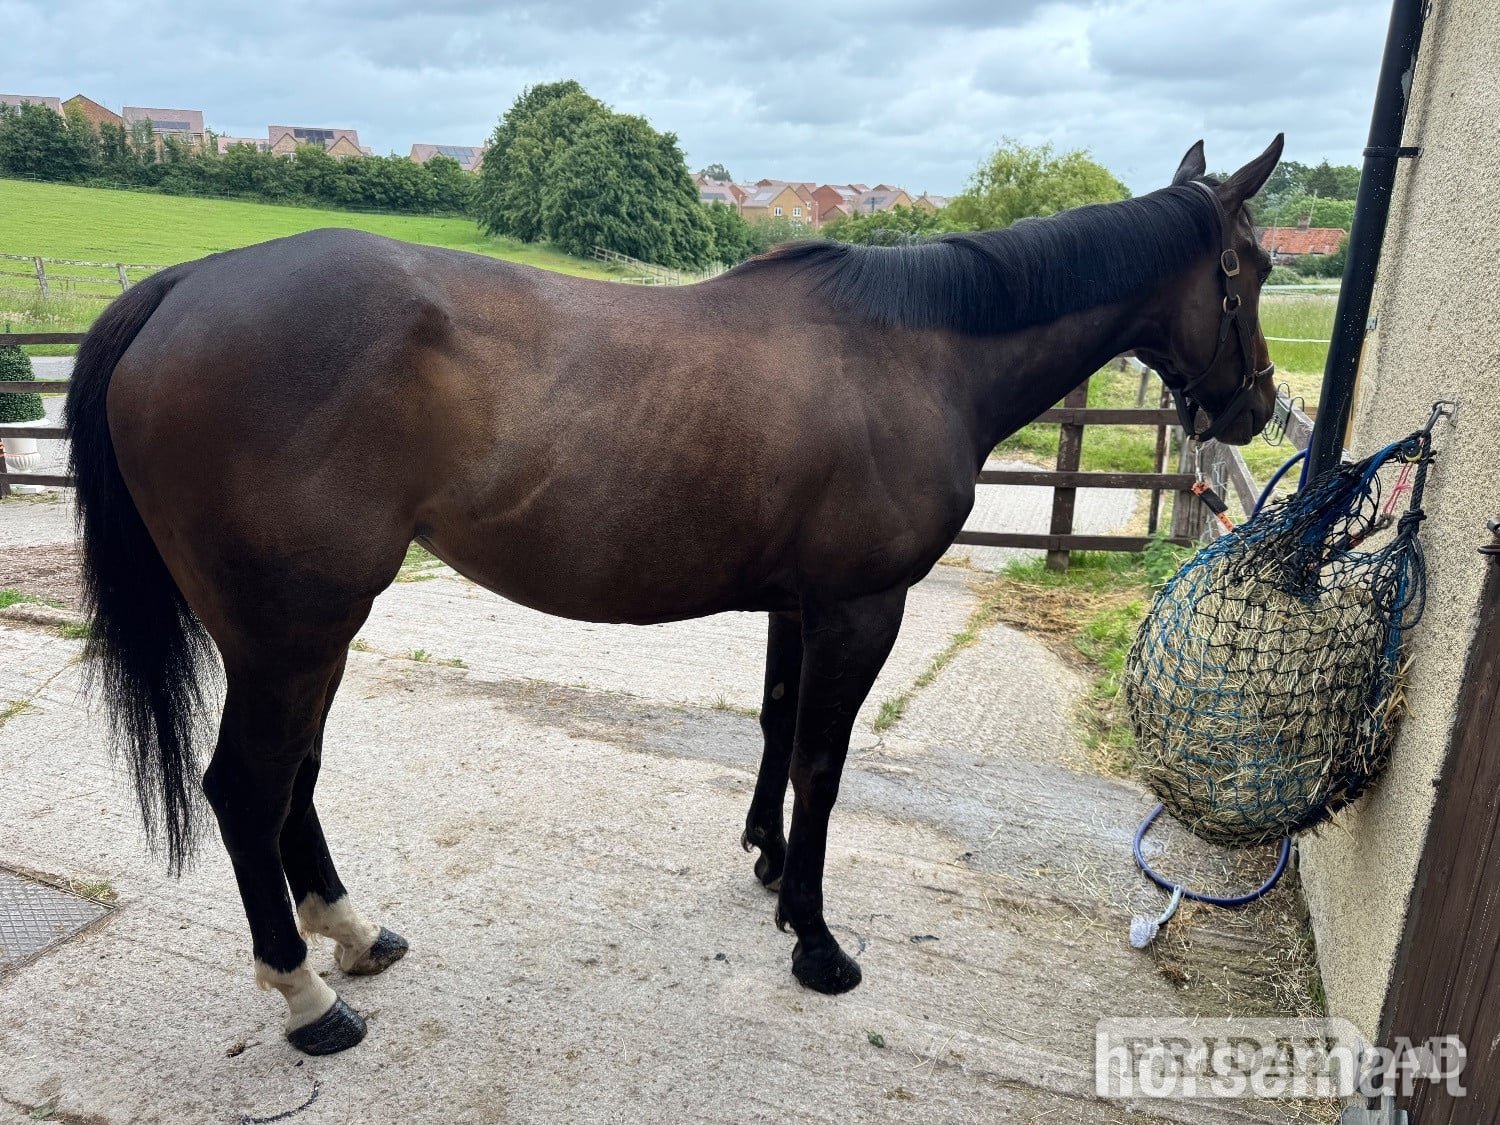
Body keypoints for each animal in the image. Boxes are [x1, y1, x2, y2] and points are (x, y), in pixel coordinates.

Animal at [63, 136, 1282, 1055]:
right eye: (1257, 265)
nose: (1258, 405)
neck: (918, 353)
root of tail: (184, 288)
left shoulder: (800, 605)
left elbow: (778, 725)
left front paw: (771, 866)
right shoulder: (862, 606)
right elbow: (823, 761)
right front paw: (816, 940)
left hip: (305, 635)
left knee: (293, 782)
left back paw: (354, 938)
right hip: (291, 633)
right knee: (245, 789)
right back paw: (309, 1000)